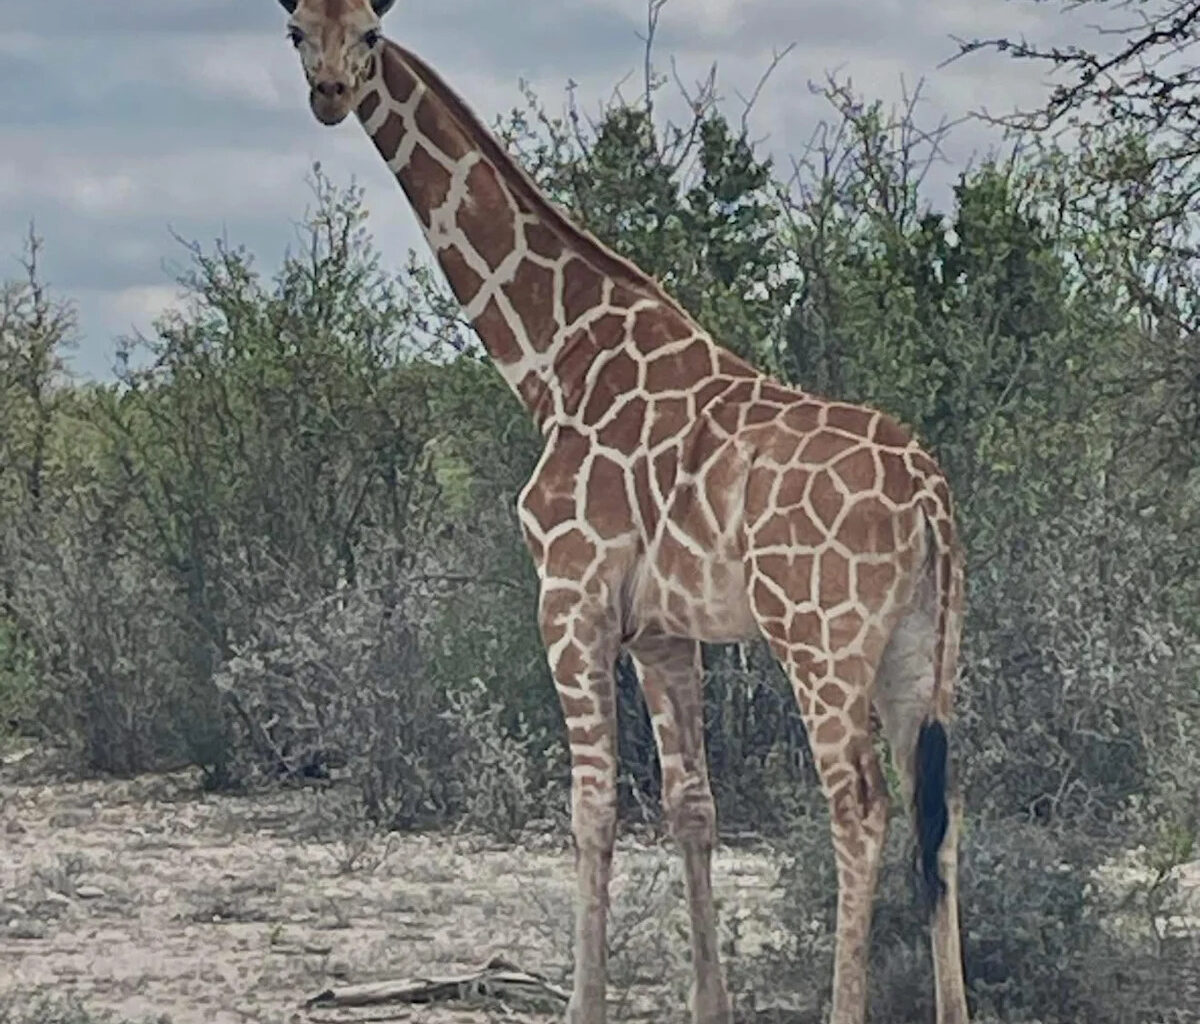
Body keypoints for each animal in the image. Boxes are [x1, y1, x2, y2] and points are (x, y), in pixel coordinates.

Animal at [273, 3, 970, 1022]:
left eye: (367, 33)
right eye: (296, 30)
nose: (328, 95)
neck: (554, 360)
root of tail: (930, 494)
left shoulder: (570, 597)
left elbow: (592, 805)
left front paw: (583, 1002)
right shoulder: (663, 632)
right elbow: (691, 807)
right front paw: (708, 1004)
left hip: (823, 641)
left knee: (861, 811)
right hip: (923, 649)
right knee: (938, 815)